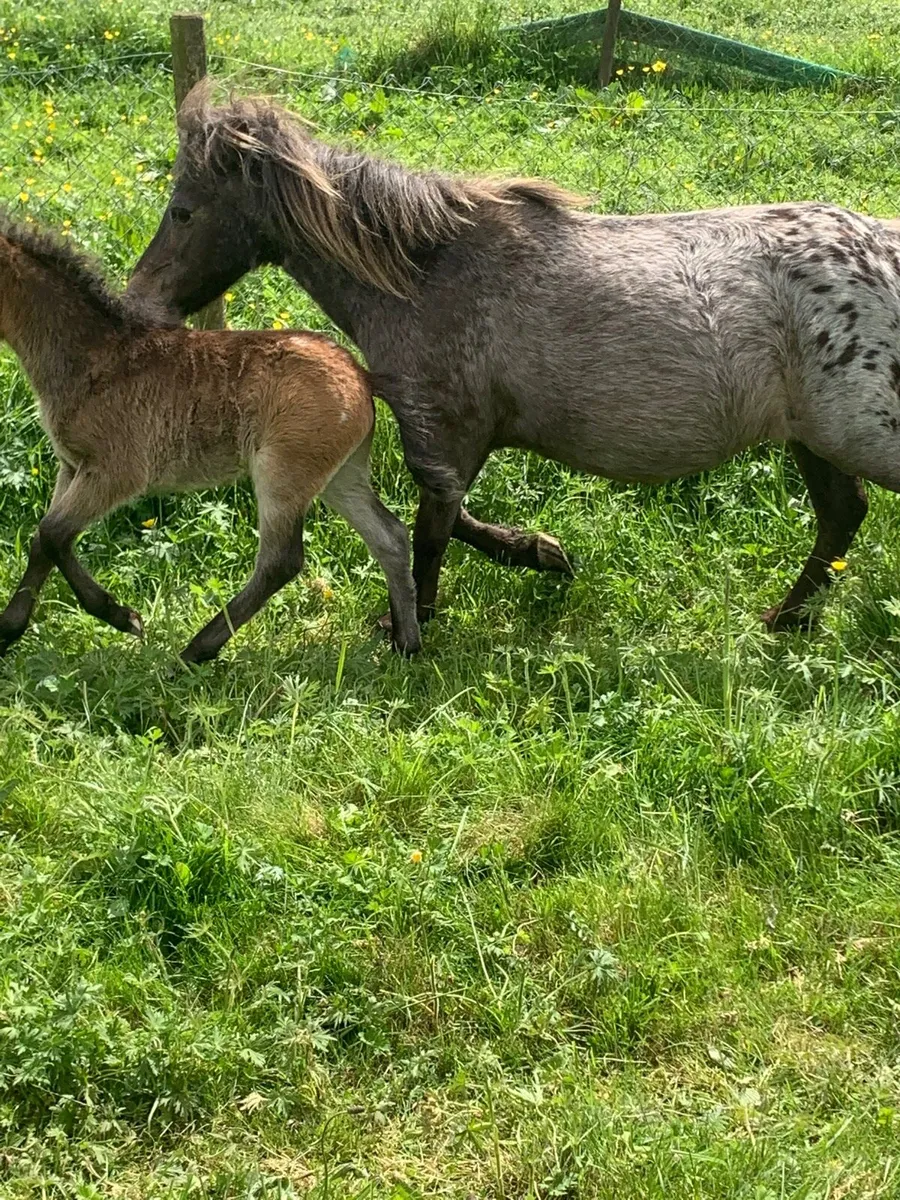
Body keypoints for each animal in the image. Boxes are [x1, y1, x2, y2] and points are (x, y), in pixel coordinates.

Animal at [0, 216, 420, 663]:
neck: (92, 356)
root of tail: (362, 377)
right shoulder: (72, 465)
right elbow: (43, 541)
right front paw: (8, 630)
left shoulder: (117, 471)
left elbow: (53, 533)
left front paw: (123, 617)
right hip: (340, 475)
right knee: (389, 536)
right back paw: (407, 642)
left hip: (282, 472)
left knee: (280, 561)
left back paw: (194, 651)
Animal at [127, 81, 900, 635]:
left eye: (185, 210)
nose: (140, 301)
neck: (427, 273)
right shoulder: (450, 436)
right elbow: (449, 517)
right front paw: (542, 554)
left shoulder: (446, 429)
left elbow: (431, 527)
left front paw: (412, 625)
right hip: (812, 438)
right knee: (842, 516)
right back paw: (787, 620)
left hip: (857, 434)